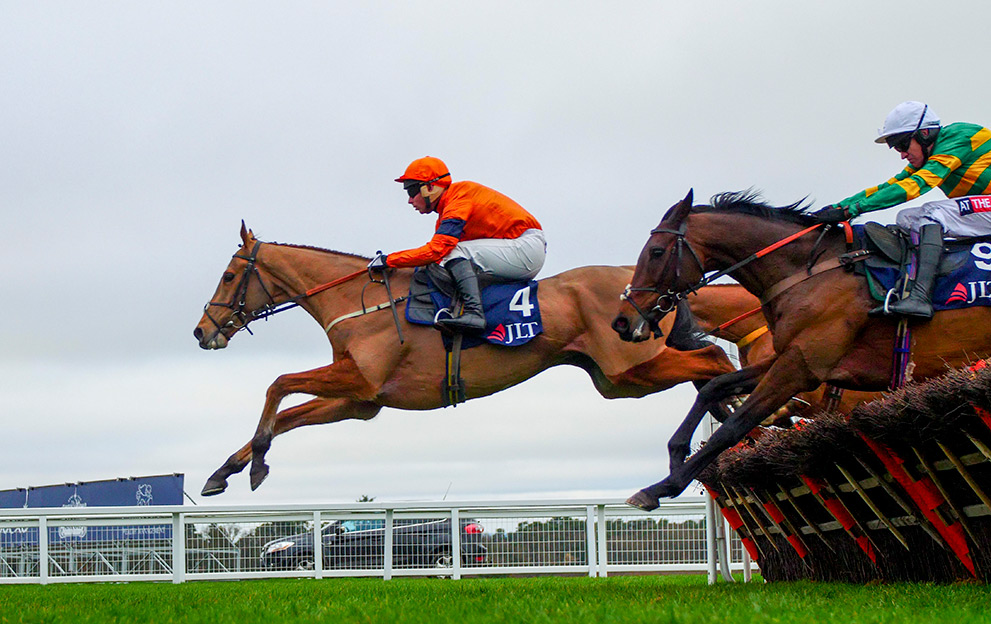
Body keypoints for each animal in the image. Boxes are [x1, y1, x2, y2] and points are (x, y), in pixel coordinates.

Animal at [194, 223, 772, 496]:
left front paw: (253, 461)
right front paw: (228, 470)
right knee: (707, 368)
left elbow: (277, 383)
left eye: (228, 275)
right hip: (617, 377)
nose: (201, 331)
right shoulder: (360, 400)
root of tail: (647, 287)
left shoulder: (357, 380)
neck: (356, 300)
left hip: (631, 367)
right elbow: (287, 413)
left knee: (713, 363)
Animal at [613, 189, 991, 510]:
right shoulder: (788, 357)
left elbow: (736, 424)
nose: (622, 321)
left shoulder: (800, 369)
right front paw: (677, 454)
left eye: (656, 252)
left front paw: (662, 486)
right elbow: (714, 388)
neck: (807, 273)